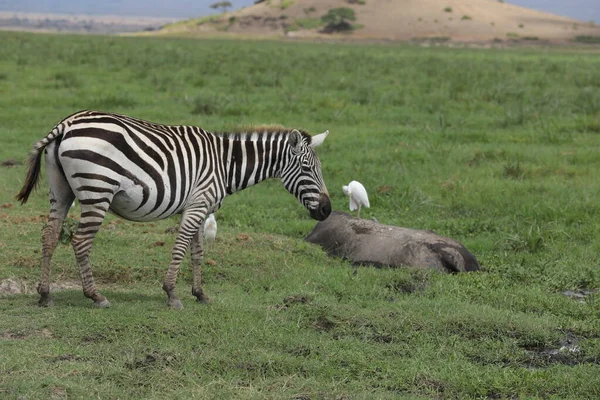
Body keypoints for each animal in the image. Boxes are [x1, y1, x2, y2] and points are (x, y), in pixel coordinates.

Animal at [16, 110, 332, 310]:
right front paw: (171, 294)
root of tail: (66, 124)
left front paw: (200, 294)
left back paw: (45, 295)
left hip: (61, 190)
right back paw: (96, 296)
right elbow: (180, 247)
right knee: (80, 241)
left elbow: (198, 251)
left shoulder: (199, 208)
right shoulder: (197, 204)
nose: (327, 211)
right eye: (307, 169)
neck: (226, 164)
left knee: (49, 236)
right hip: (98, 190)